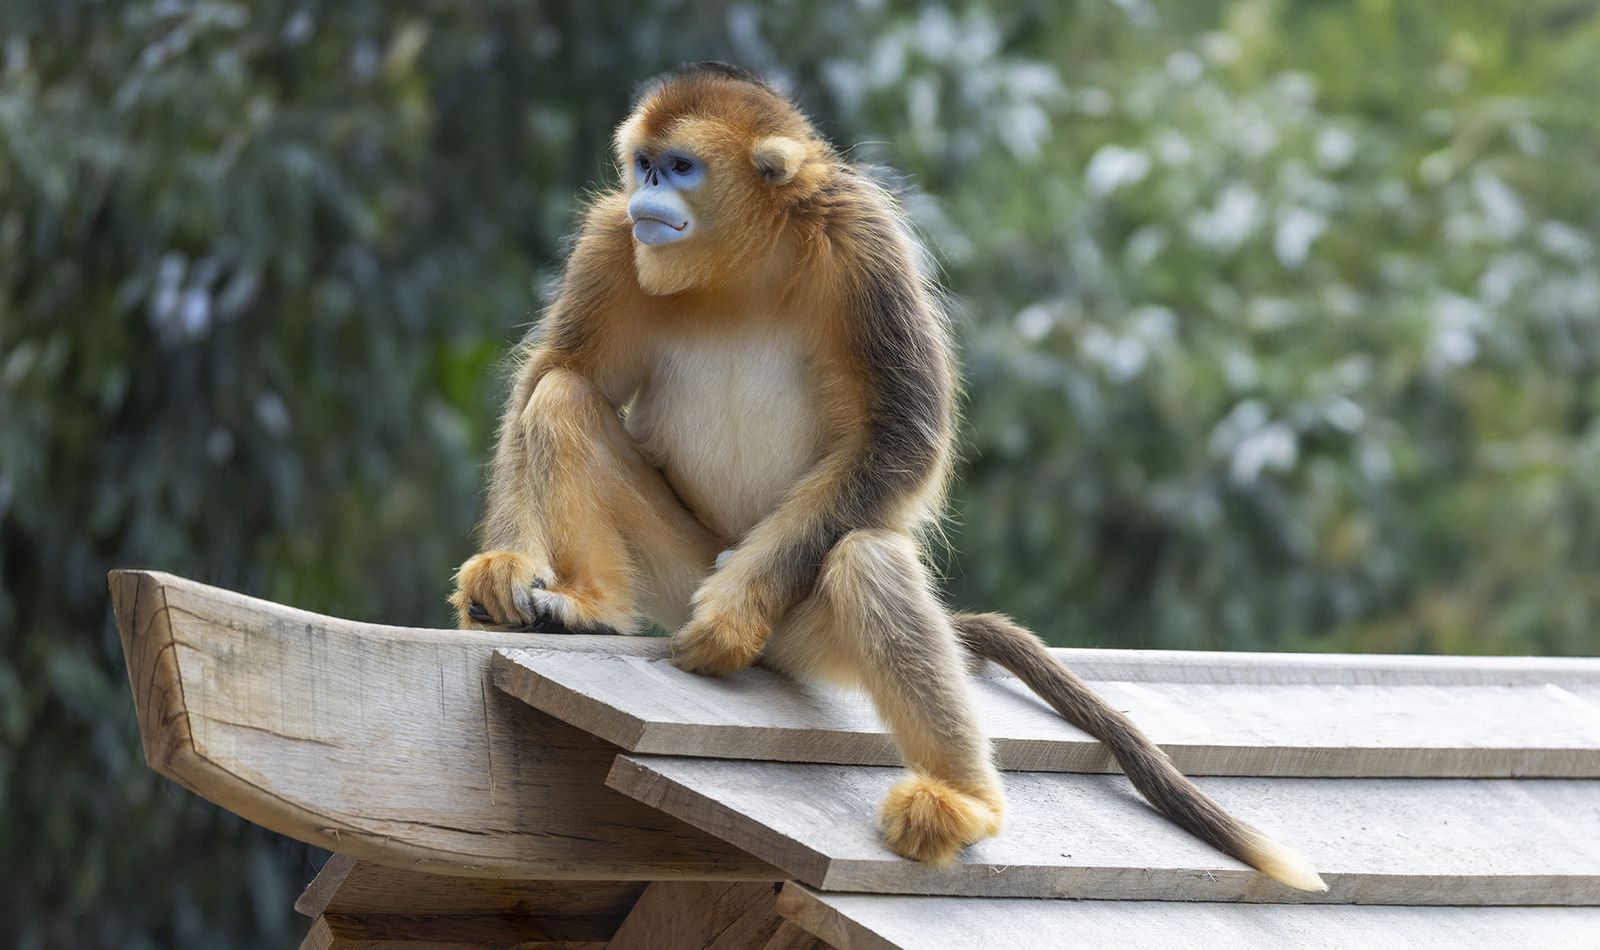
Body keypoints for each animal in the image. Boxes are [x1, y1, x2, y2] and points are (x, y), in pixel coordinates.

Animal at [450, 62, 1325, 891]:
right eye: (643, 165)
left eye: (681, 166)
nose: (651, 193)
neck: (745, 259)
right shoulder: (613, 237)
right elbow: (555, 375)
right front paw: (509, 565)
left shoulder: (862, 238)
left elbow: (902, 435)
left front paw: (732, 614)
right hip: (682, 568)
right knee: (564, 397)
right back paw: (590, 603)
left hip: (800, 620)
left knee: (865, 555)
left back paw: (962, 797)